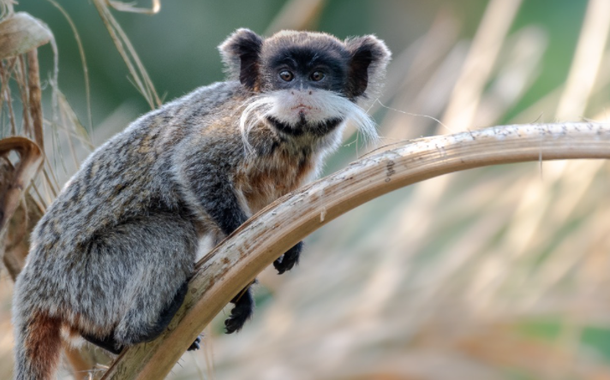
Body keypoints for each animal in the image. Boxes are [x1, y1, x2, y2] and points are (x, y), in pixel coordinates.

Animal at [11, 28, 390, 378]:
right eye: (285, 76)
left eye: (317, 76)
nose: (300, 92)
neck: (289, 138)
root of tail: (35, 288)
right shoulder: (242, 129)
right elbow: (195, 167)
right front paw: (251, 267)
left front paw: (254, 282)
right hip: (86, 277)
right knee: (170, 232)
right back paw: (143, 327)